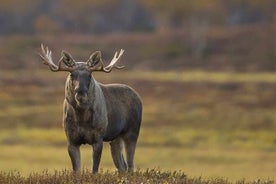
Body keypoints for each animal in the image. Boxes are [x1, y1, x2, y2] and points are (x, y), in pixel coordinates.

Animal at [38, 44, 142, 172]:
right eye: (71, 74)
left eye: (90, 75)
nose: (81, 93)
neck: (81, 118)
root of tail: (138, 97)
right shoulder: (72, 140)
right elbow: (76, 170)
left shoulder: (98, 139)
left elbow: (94, 170)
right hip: (115, 138)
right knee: (122, 166)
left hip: (132, 133)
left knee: (131, 166)